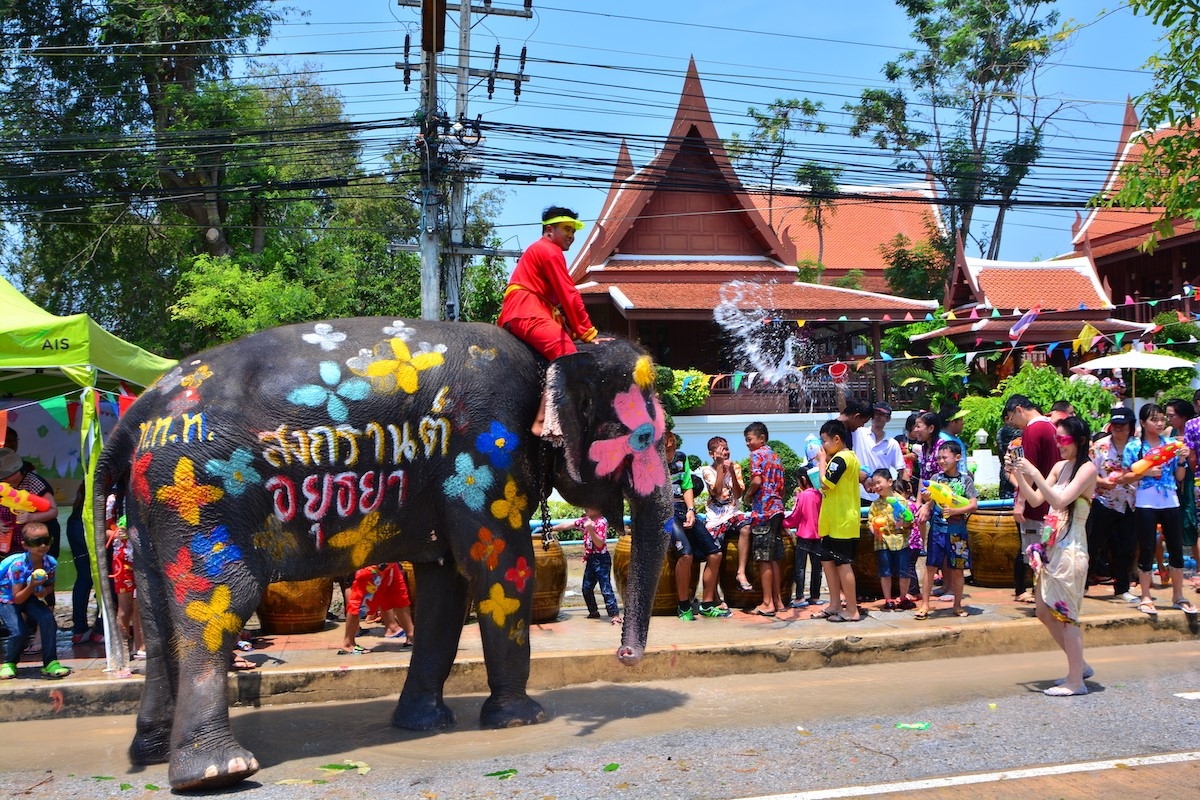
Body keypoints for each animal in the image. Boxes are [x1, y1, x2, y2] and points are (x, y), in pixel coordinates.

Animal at [91, 316, 676, 791]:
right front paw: (522, 719)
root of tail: (137, 414)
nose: (624, 656)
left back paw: (149, 753)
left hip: (148, 509)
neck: (555, 358)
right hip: (194, 494)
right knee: (219, 599)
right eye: (645, 437)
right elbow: (499, 569)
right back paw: (218, 773)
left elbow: (446, 582)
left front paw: (425, 723)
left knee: (156, 613)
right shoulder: (487, 451)